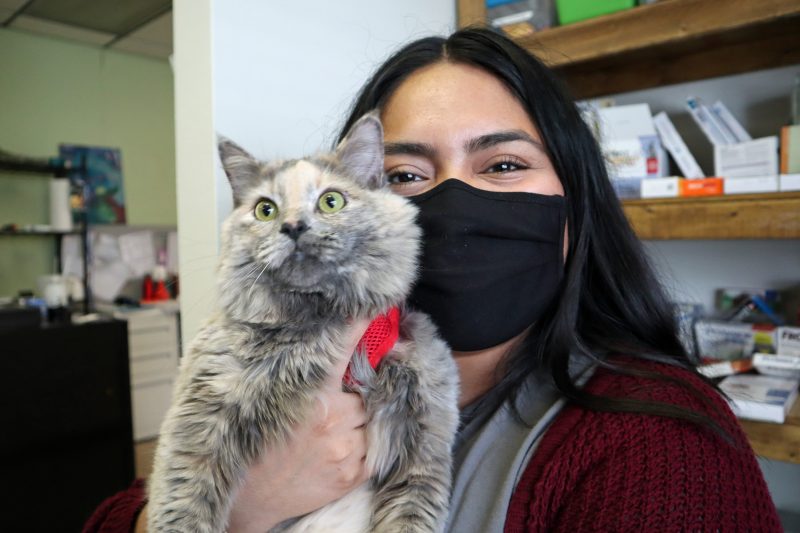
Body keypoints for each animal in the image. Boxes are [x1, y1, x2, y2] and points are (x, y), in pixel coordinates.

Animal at [147, 113, 460, 532]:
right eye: (265, 210)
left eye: (331, 201)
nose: (294, 226)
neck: (319, 328)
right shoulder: (201, 413)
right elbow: (183, 501)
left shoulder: (425, 448)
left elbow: (409, 517)